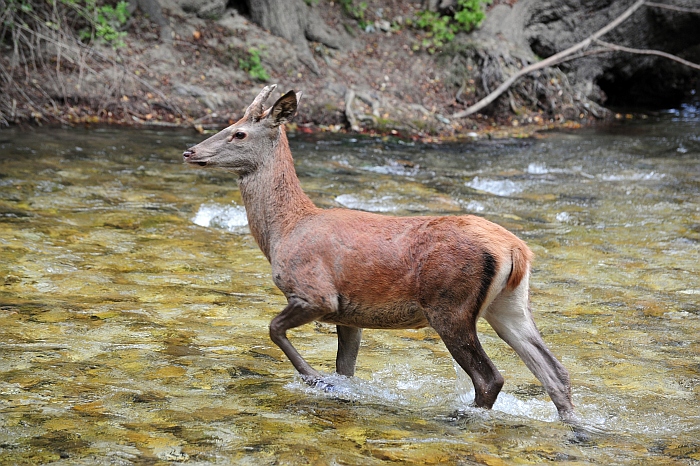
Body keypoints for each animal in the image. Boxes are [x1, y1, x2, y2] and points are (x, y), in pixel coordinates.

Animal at [183, 85, 576, 424]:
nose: (190, 151)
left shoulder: (316, 293)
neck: (284, 231)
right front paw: (338, 387)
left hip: (450, 306)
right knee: (555, 371)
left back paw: (459, 417)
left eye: (239, 133)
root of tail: (517, 250)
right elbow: (345, 367)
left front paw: (314, 378)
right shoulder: (348, 314)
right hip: (509, 304)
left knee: (490, 377)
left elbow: (274, 329)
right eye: (228, 125)